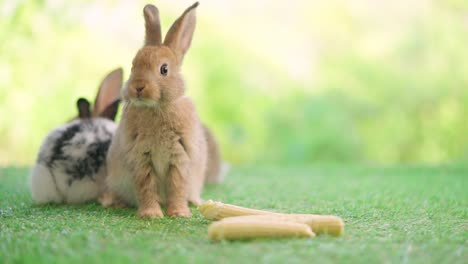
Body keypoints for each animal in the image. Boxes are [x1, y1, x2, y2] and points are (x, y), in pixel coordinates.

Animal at [103, 2, 224, 219]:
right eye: (133, 67)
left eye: (164, 69)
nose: (138, 87)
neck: (156, 107)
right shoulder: (141, 159)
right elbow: (146, 187)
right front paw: (151, 214)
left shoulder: (179, 158)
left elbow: (177, 187)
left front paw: (178, 213)